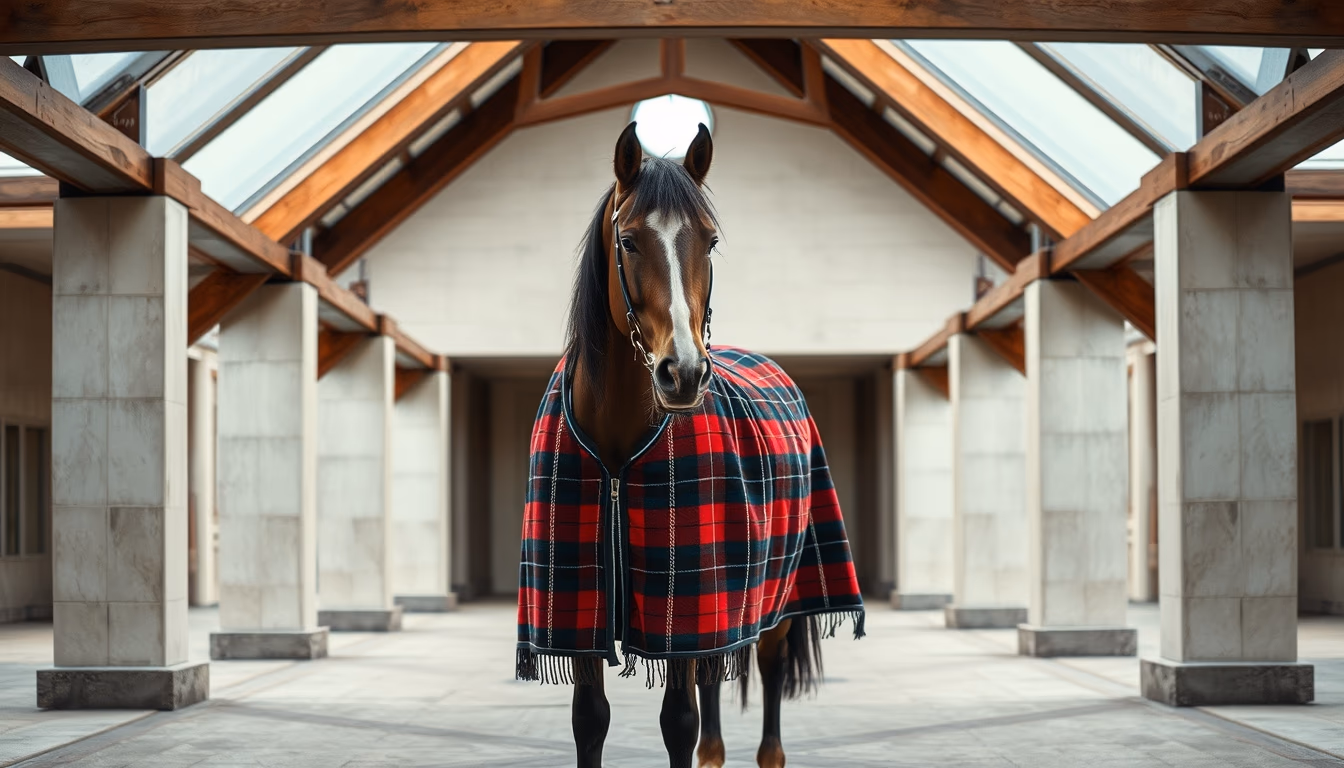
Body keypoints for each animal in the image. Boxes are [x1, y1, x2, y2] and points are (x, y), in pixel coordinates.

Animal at [516, 121, 864, 768]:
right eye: (628, 241)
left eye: (710, 241)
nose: (682, 373)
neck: (619, 450)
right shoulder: (578, 621)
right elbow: (590, 722)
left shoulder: (685, 610)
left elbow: (677, 723)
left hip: (779, 597)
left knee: (768, 674)